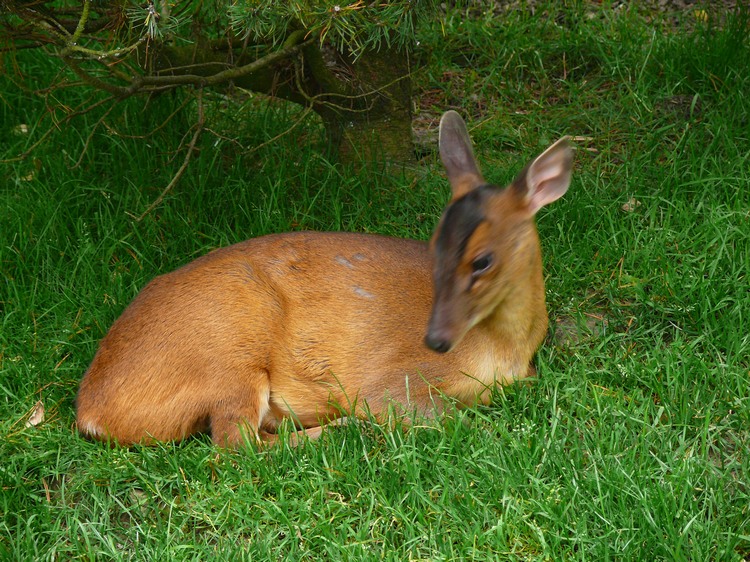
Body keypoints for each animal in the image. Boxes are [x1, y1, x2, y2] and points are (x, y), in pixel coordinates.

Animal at [75, 111, 576, 446]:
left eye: (483, 260)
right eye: (435, 243)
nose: (435, 339)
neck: (504, 351)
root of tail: (91, 410)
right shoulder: (394, 383)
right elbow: (443, 416)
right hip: (227, 358)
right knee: (237, 448)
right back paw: (337, 426)